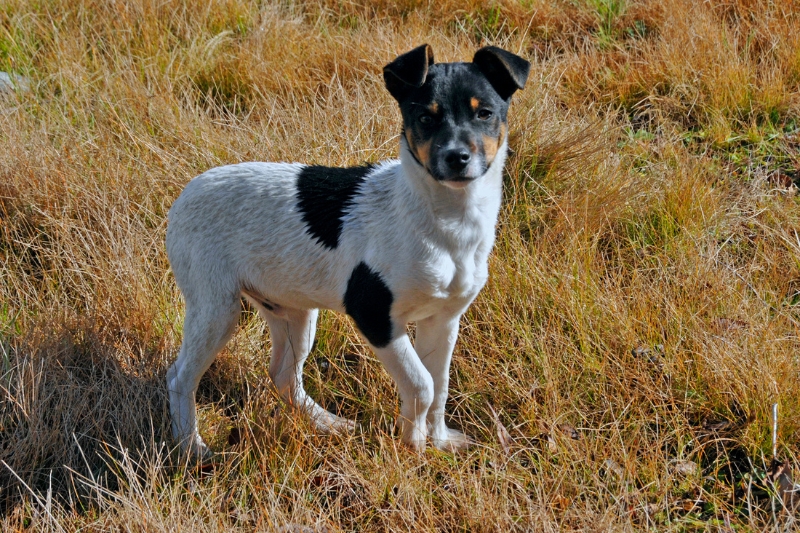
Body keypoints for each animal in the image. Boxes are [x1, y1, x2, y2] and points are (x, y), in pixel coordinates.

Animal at [167, 43, 532, 456]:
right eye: (425, 118)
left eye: (484, 113)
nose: (457, 158)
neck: (447, 218)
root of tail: (188, 190)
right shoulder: (375, 317)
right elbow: (421, 384)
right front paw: (413, 444)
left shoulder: (443, 319)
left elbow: (439, 387)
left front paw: (438, 441)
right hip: (217, 309)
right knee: (180, 377)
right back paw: (191, 447)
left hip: (294, 312)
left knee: (283, 375)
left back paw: (327, 423)